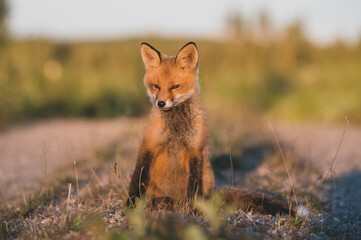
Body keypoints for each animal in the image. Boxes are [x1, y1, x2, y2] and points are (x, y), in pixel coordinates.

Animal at [126, 41, 304, 216]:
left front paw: (192, 210)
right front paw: (130, 205)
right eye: (156, 86)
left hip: (207, 175)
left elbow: (193, 186)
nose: (161, 103)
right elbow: (137, 178)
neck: (176, 129)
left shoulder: (195, 150)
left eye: (175, 86)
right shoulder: (149, 145)